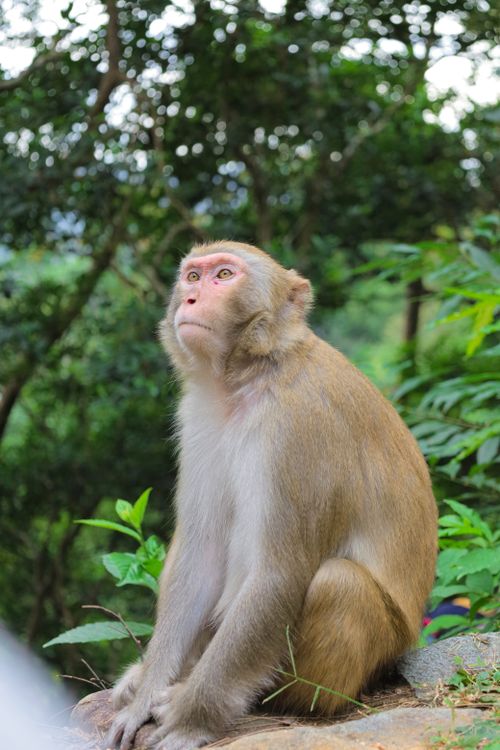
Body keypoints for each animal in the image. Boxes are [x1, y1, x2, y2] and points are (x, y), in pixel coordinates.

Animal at [105, 241, 437, 750]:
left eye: (224, 275)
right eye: (192, 276)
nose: (191, 299)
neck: (249, 375)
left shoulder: (299, 426)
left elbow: (280, 573)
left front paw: (189, 717)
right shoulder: (197, 415)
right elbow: (200, 556)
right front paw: (144, 697)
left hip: (373, 655)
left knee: (338, 583)